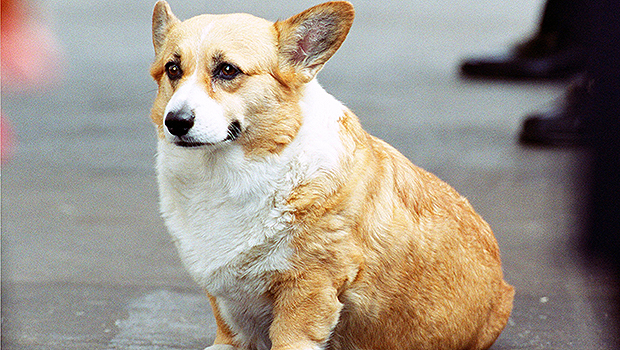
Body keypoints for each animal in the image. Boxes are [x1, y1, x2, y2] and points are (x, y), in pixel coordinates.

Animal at [149, 1, 512, 348]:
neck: (226, 176)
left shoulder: (309, 289)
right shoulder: (228, 306)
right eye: (172, 69)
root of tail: (503, 284)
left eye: (227, 70)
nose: (176, 122)